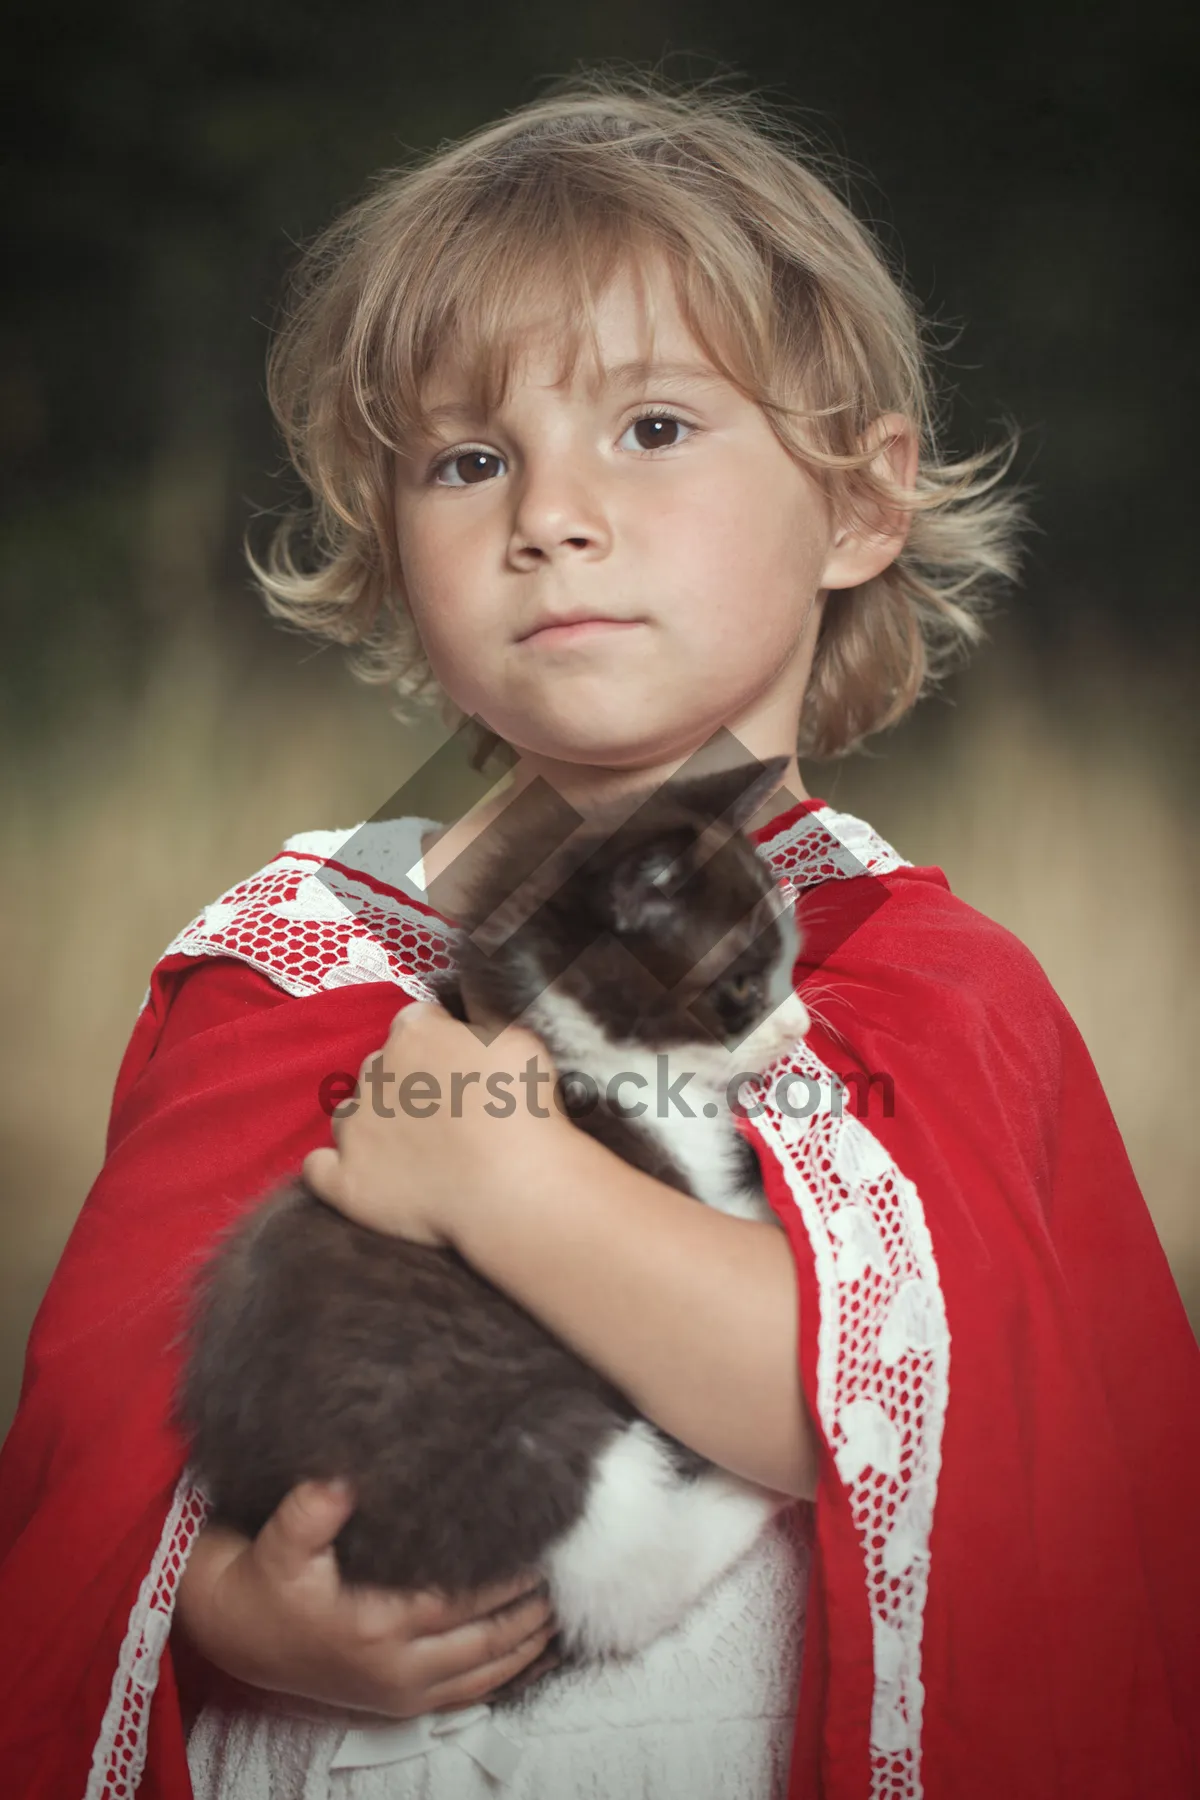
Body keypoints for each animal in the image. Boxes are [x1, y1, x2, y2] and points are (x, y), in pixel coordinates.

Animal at [178, 752, 813, 1663]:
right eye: (741, 984)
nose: (800, 1027)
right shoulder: (656, 1173)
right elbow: (737, 1215)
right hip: (525, 1446)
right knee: (627, 1585)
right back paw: (746, 1495)